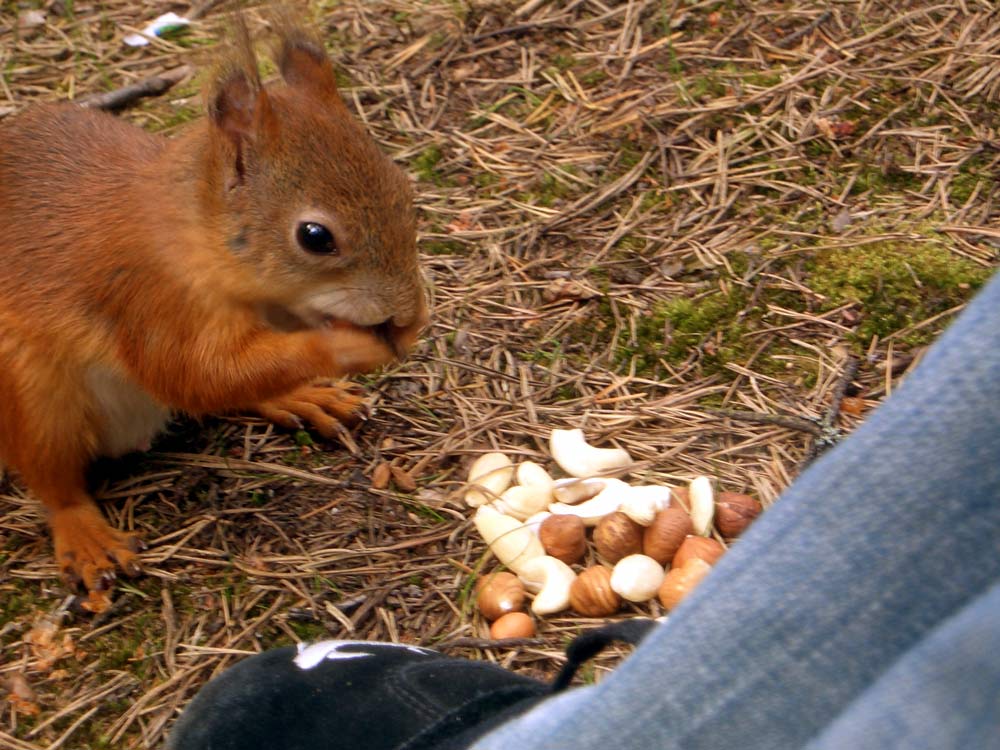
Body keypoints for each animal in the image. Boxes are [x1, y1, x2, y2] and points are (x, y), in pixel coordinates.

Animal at [0, 22, 426, 600]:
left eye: (404, 189)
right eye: (315, 237)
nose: (408, 316)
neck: (196, 230)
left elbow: (229, 376)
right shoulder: (152, 298)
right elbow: (195, 374)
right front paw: (346, 344)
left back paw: (300, 397)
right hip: (34, 398)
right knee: (55, 480)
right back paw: (84, 535)